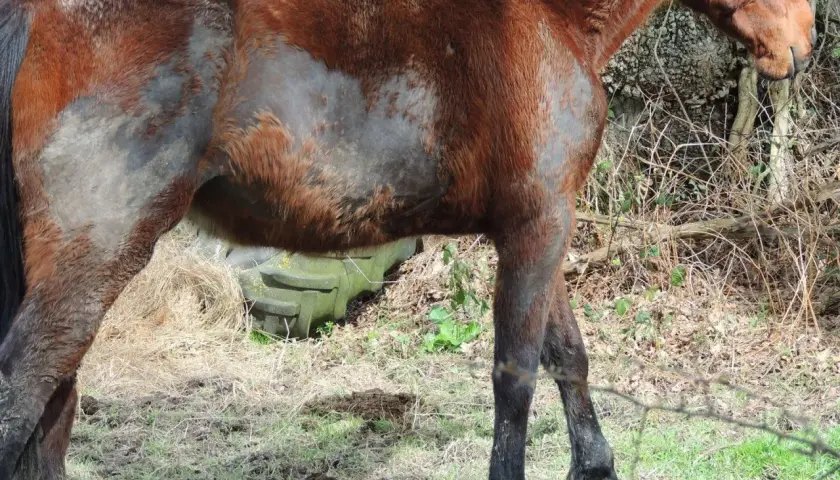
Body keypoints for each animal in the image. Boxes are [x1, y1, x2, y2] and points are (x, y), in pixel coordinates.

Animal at [0, 0, 815, 478]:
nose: (806, 41)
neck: (552, 21)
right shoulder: (538, 226)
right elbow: (517, 376)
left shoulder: (540, 227)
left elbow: (568, 356)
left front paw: (595, 464)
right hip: (97, 251)